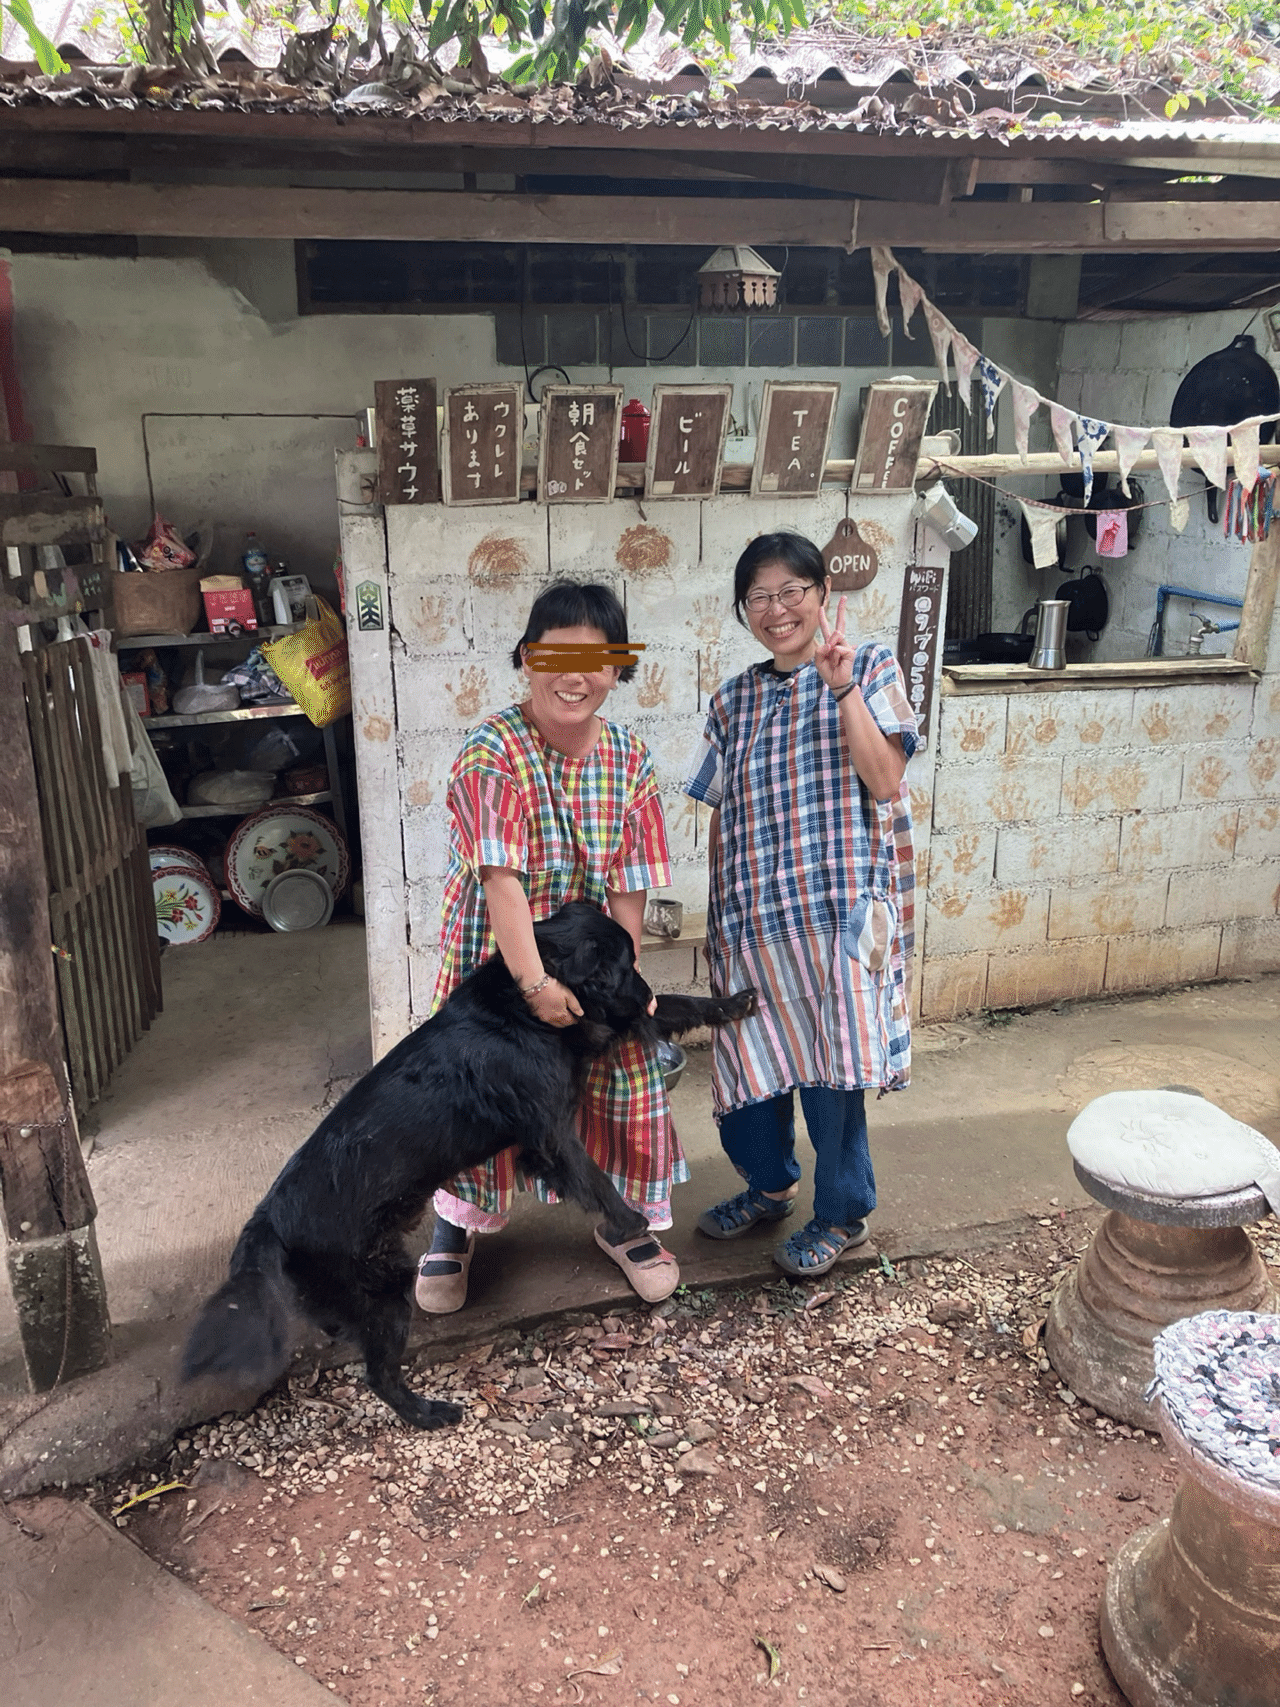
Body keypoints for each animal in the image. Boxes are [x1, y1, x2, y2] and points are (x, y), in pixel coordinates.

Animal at [182, 902, 755, 1430]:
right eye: (624, 966)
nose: (646, 992)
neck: (519, 1005)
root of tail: (269, 1219)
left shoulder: (593, 1028)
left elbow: (678, 1007)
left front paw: (732, 1002)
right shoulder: (550, 1133)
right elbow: (594, 1178)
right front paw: (631, 1221)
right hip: (383, 1292)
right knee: (379, 1375)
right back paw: (428, 1413)